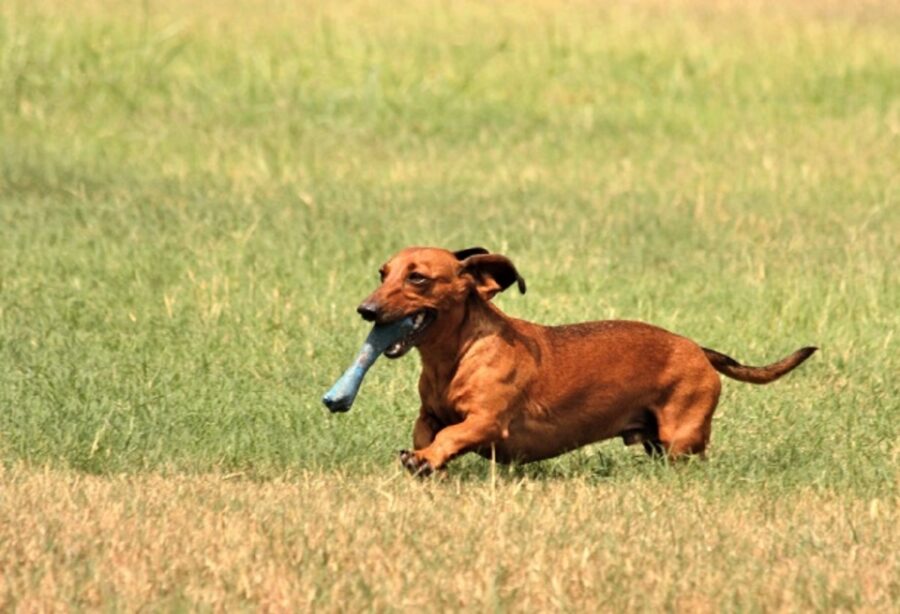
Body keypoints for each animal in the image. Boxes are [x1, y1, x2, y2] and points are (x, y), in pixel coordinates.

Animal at [354, 245, 816, 476]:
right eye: (383, 273)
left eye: (417, 277)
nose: (365, 310)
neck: (457, 355)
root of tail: (698, 348)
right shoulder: (429, 414)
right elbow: (428, 433)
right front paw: (424, 461)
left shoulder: (486, 421)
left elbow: (452, 435)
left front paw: (427, 460)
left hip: (681, 438)